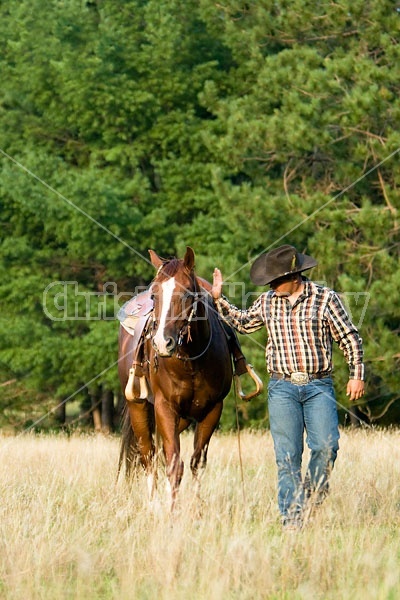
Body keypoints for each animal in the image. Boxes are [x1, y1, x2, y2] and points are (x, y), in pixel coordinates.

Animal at [117, 246, 233, 508]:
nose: (162, 342)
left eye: (187, 293)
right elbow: (173, 465)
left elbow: (196, 463)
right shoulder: (164, 407)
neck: (191, 362)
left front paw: (196, 509)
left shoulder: (213, 410)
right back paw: (152, 504)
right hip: (139, 407)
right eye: (154, 295)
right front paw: (171, 511)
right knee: (148, 456)